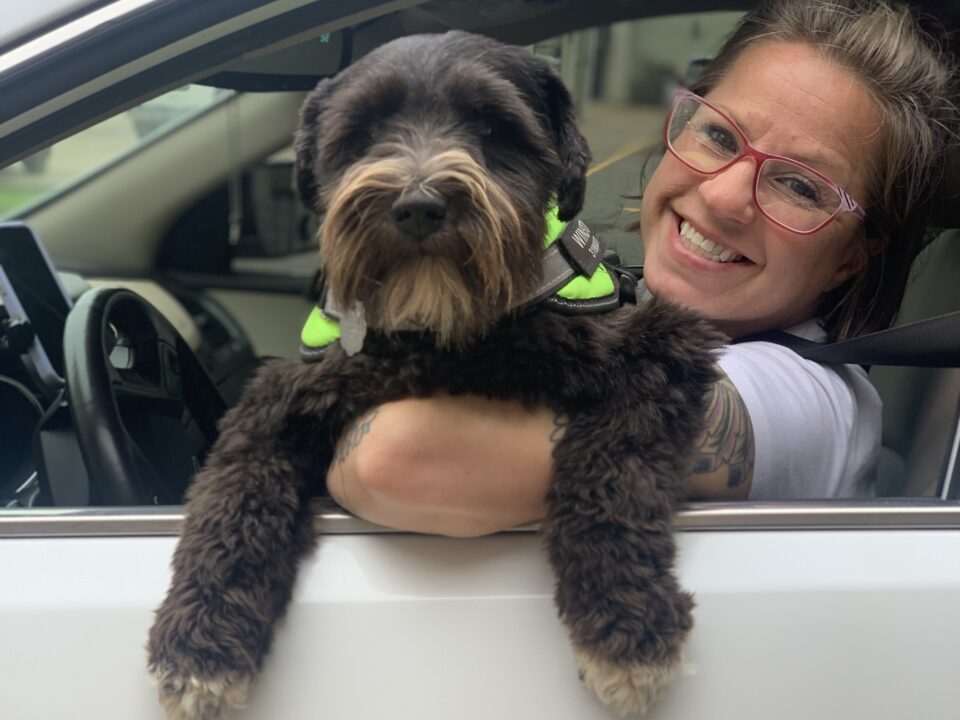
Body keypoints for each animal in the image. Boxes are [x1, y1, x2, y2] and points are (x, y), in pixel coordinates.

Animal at [148, 31, 720, 716]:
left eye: (493, 127)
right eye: (366, 129)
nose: (418, 206)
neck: (435, 331)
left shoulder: (658, 351)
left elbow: (614, 470)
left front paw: (627, 624)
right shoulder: (280, 399)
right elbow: (232, 494)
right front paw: (200, 643)